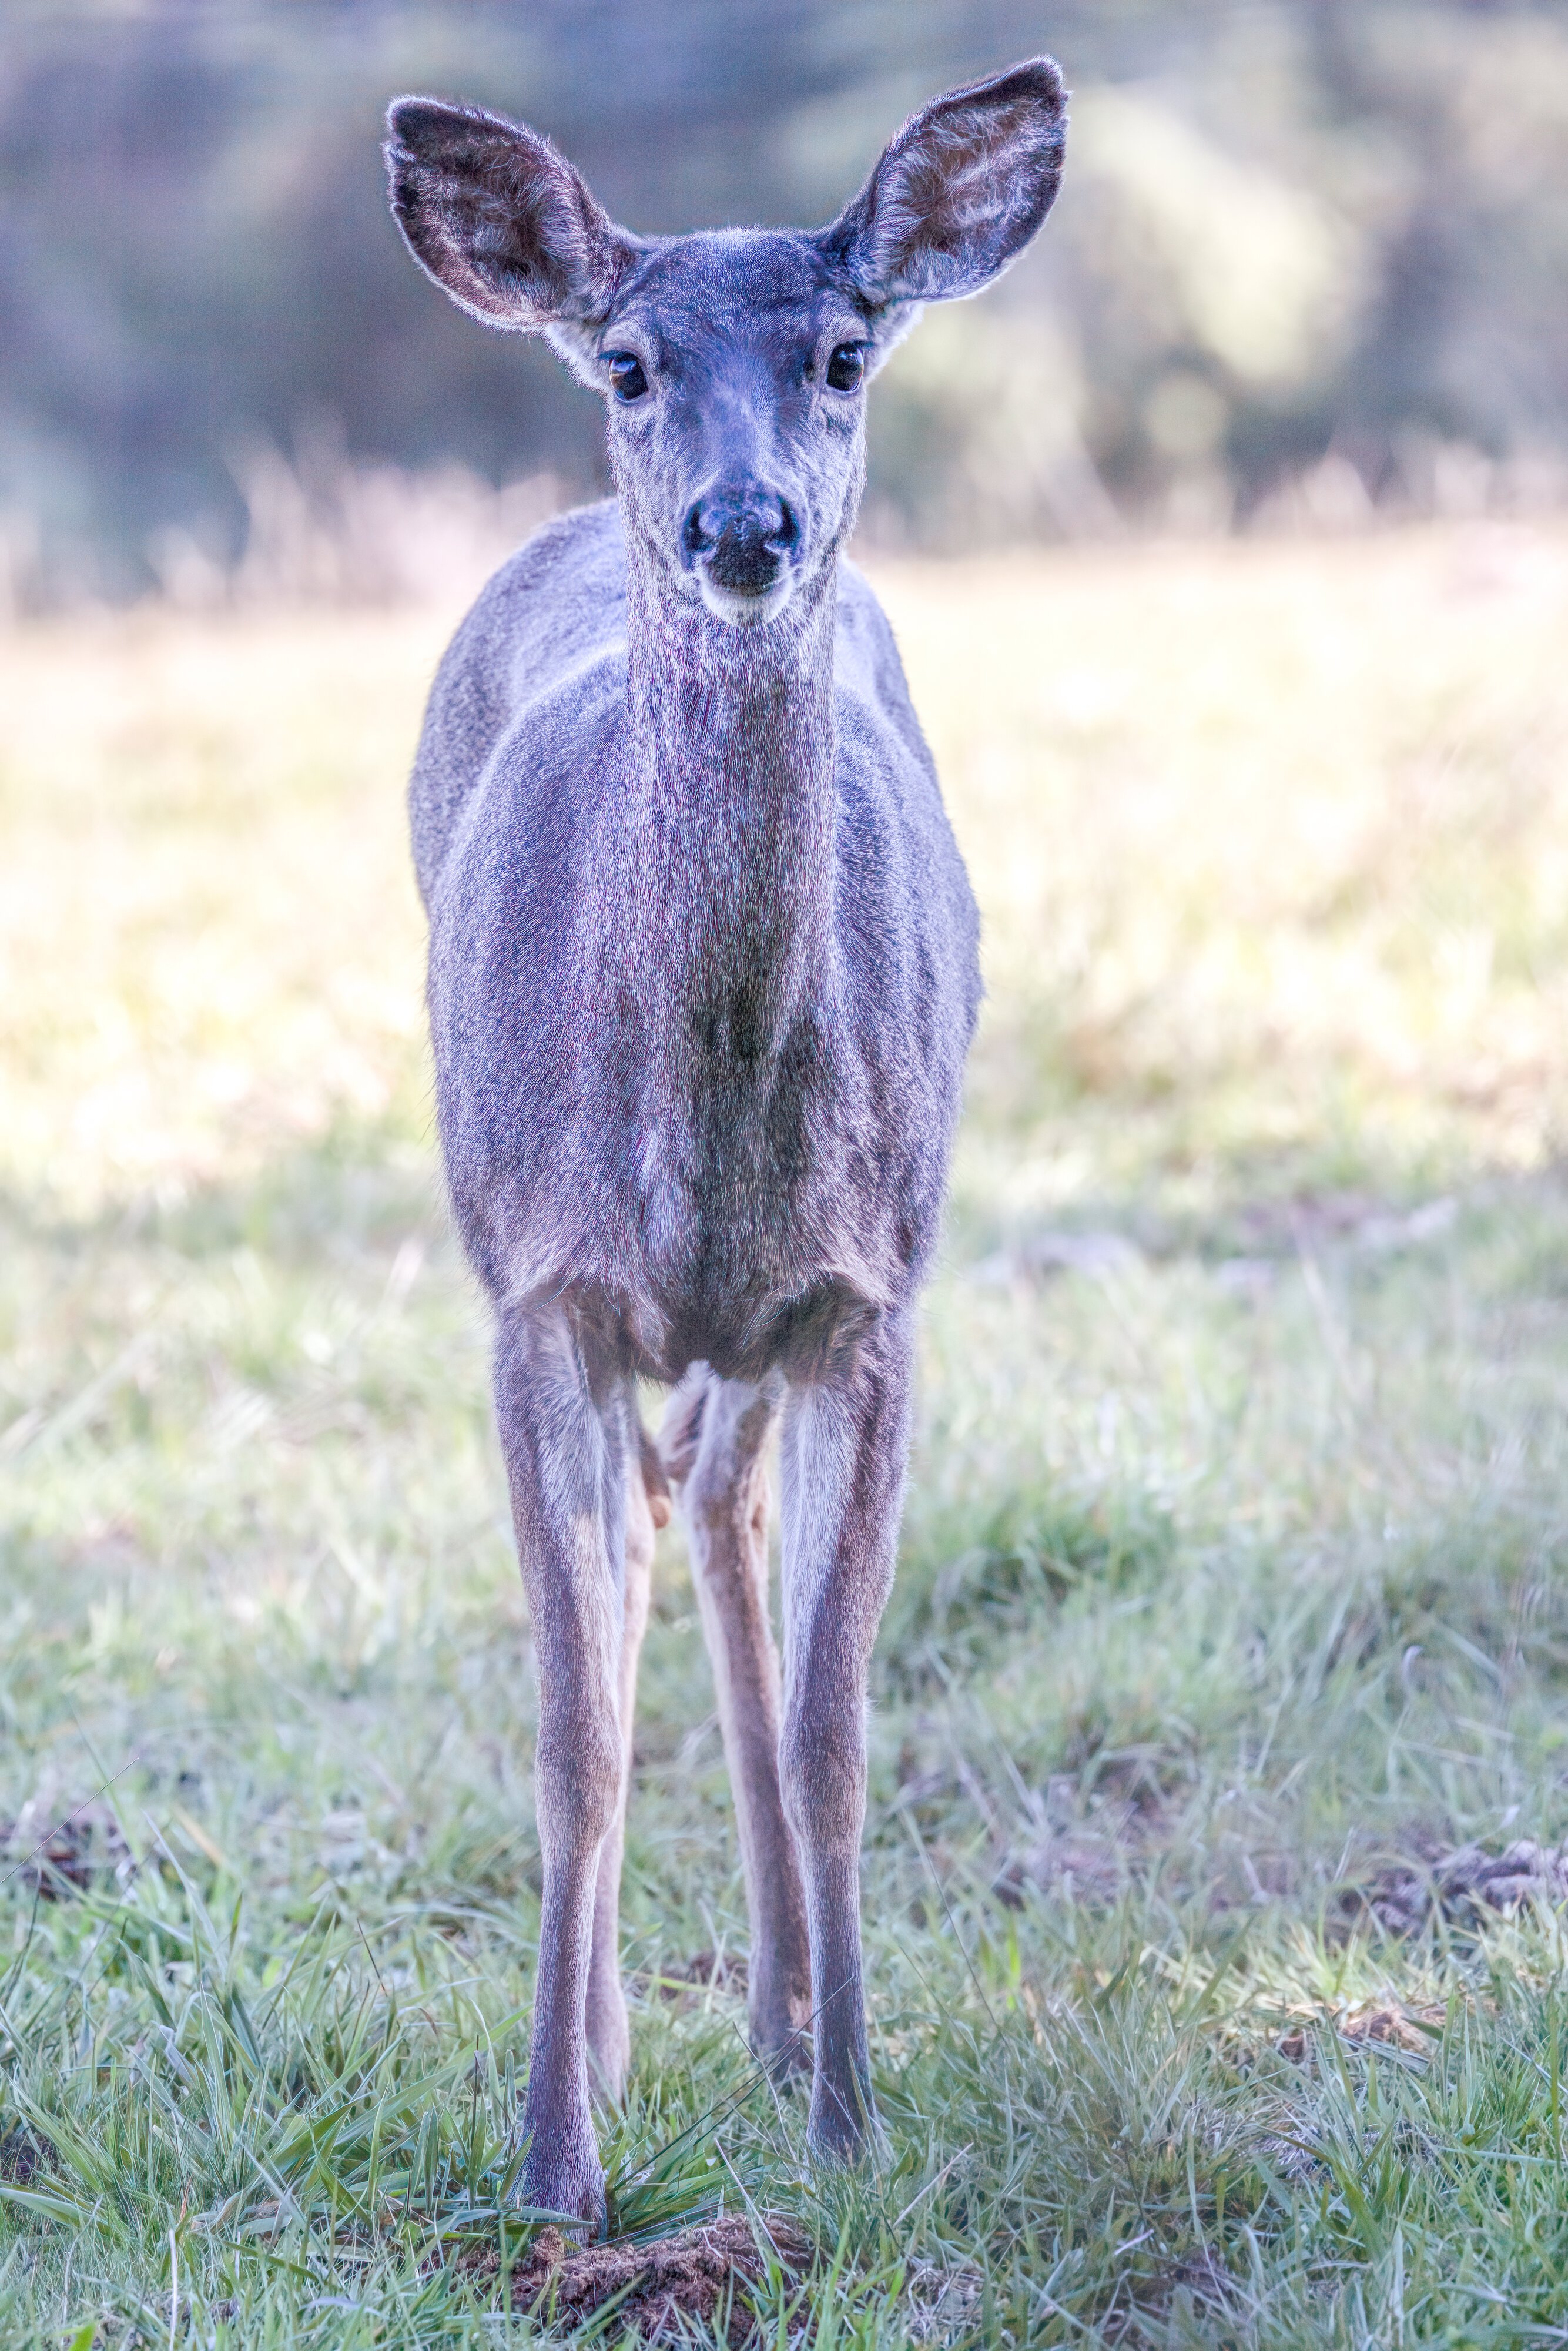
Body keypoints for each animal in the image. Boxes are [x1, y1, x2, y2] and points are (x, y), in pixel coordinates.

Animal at [383, 55, 1067, 2219]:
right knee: (651, 1549)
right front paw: (553, 2161)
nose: (742, 522)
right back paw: (625, 2038)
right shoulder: (532, 1286)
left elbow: (843, 1728)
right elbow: (573, 1739)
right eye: (627, 362)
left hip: (767, 1330)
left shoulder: (871, 1294)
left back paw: (776, 2025)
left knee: (719, 1518)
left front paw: (852, 2120)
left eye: (845, 351)